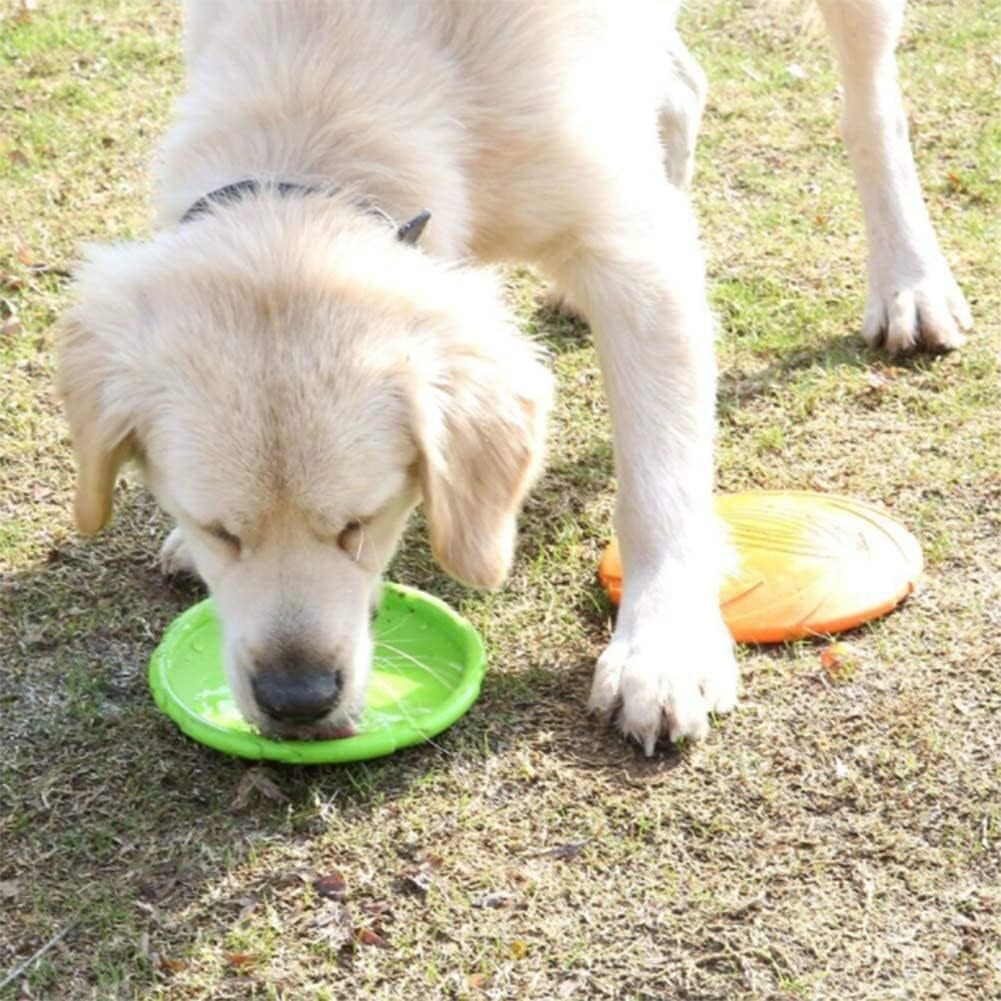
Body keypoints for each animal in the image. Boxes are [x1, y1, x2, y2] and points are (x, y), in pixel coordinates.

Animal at [58, 0, 964, 752]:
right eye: (218, 528)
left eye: (362, 521)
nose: (297, 700)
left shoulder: (642, 265)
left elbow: (656, 488)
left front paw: (661, 650)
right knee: (679, 81)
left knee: (870, 105)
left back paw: (909, 279)